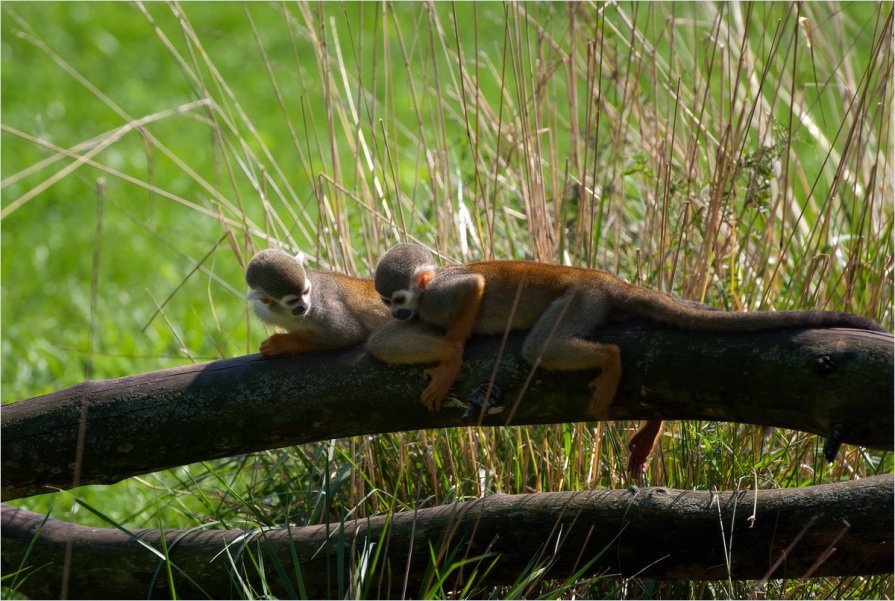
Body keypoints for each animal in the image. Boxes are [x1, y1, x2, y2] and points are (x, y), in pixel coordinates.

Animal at [245, 248, 388, 356]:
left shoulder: (321, 307)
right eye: (292, 301)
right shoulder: (262, 309)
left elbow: (348, 334)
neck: (284, 313)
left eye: (306, 291)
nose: (304, 306)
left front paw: (281, 343)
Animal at [368, 244, 884, 474]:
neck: (427, 296)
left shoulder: (443, 296)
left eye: (398, 298)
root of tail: (603, 277)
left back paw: (610, 361)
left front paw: (452, 356)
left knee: (541, 347)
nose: (397, 312)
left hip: (581, 300)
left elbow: (471, 291)